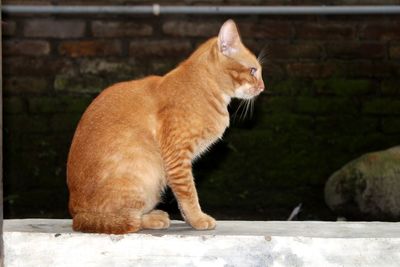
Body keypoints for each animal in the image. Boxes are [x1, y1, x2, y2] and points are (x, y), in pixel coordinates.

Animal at [67, 19, 264, 234]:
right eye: (253, 71)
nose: (263, 87)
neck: (205, 89)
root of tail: (77, 213)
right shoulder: (177, 157)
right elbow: (188, 194)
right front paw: (198, 218)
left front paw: (190, 220)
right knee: (129, 221)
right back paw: (152, 219)